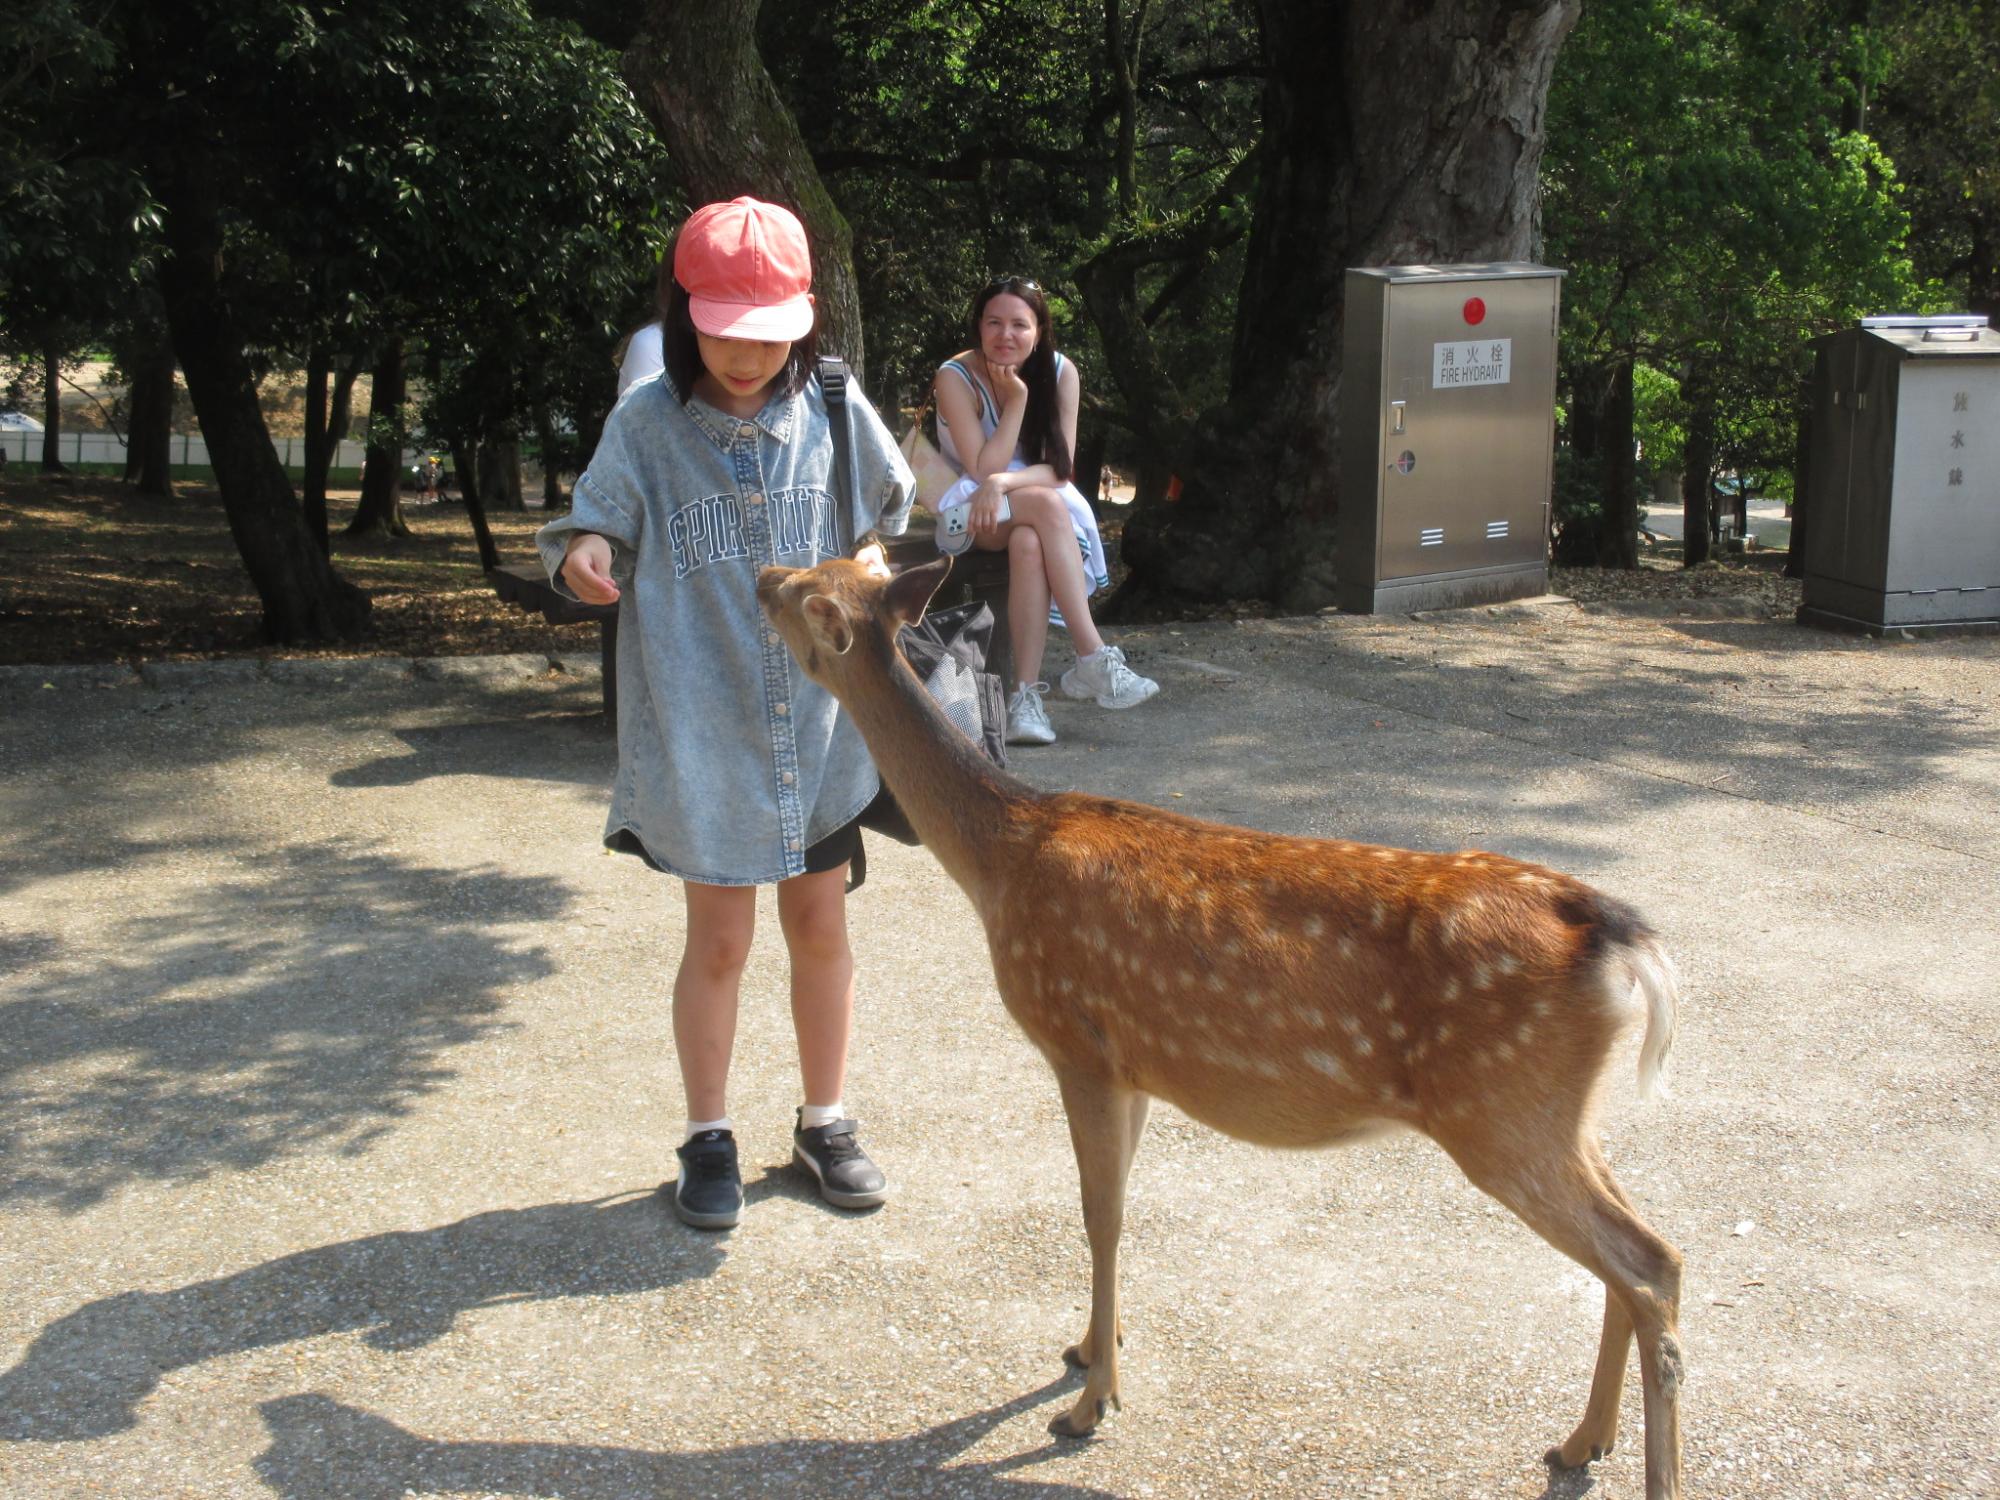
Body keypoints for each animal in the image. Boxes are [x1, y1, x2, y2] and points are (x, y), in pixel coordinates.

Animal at [756, 555, 1687, 1500]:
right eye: (832, 565)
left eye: (806, 596)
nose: (759, 574)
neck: (999, 863)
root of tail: (1614, 932)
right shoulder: (1133, 1063)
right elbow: (1115, 1207)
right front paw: (1091, 1348)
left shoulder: (1076, 1042)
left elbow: (1099, 1214)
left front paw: (1090, 1403)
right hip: (1560, 1113)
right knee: (1641, 1254)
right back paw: (1581, 1442)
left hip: (1501, 1114)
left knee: (1648, 1264)